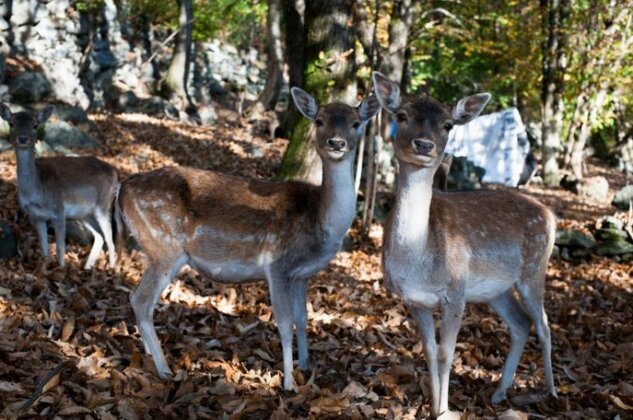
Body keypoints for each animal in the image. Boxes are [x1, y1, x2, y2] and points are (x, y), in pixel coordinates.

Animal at [0, 103, 118, 270]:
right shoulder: (36, 217)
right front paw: (44, 267)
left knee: (110, 239)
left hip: (103, 206)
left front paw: (61, 269)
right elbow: (44, 248)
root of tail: (116, 173)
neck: (37, 192)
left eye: (35, 125)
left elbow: (60, 248)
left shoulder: (59, 212)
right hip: (84, 215)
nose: (22, 138)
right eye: (11, 123)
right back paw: (87, 267)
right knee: (100, 237)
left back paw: (112, 268)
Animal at [115, 88, 378, 390]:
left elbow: (303, 319)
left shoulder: (301, 274)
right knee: (141, 299)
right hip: (165, 247)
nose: (336, 143)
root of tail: (121, 189)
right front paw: (288, 384)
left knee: (137, 297)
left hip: (154, 249)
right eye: (319, 121)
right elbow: (285, 323)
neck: (319, 221)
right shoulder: (278, 265)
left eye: (356, 123)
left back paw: (148, 355)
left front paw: (306, 367)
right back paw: (164, 369)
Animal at [372, 71, 556, 416]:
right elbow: (429, 351)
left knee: (544, 324)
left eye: (447, 125)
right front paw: (432, 407)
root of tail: (551, 214)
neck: (419, 261)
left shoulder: (455, 292)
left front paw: (445, 410)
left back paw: (551, 392)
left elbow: (447, 353)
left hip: (534, 269)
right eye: (401, 115)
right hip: (496, 290)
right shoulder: (414, 300)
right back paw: (499, 393)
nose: (424, 144)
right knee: (521, 323)